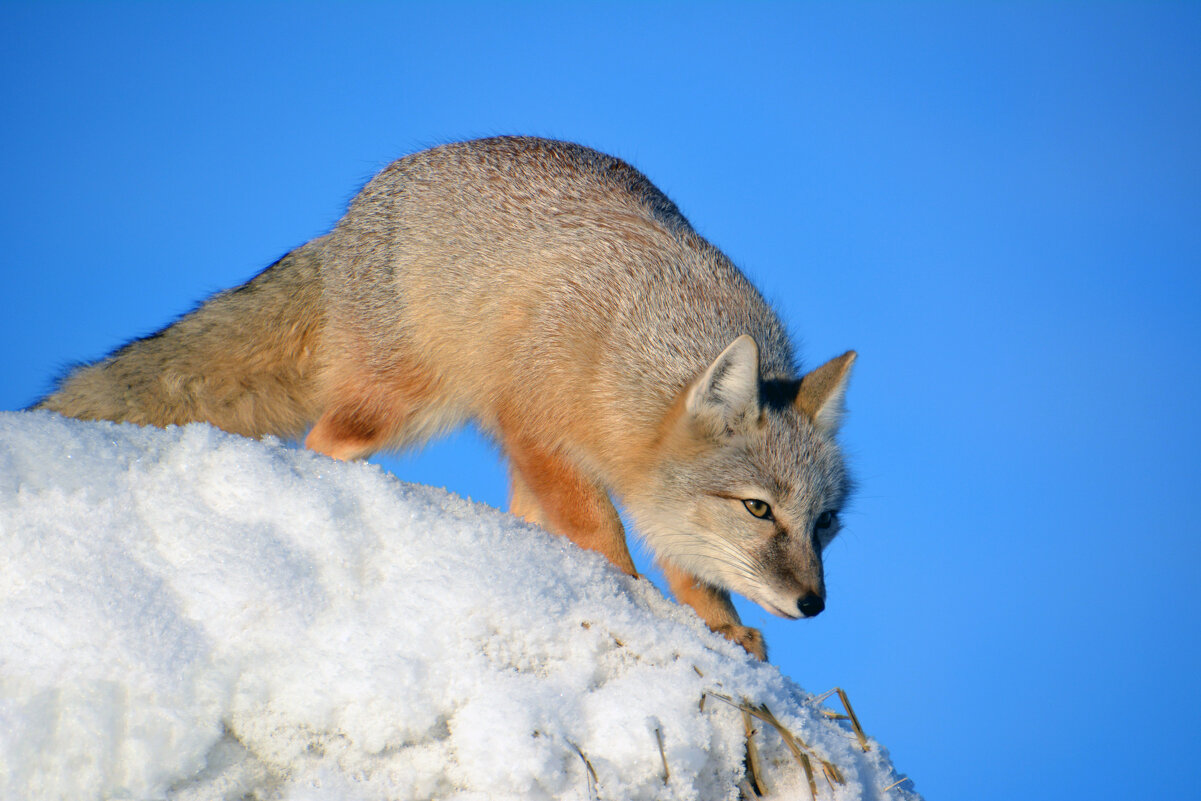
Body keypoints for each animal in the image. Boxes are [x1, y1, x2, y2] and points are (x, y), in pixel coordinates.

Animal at [35, 136, 855, 662]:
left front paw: (720, 627)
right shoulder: (532, 425)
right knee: (323, 443)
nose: (815, 604)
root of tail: (347, 223)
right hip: (398, 405)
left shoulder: (586, 468)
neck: (628, 356)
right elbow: (601, 530)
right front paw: (623, 587)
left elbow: (689, 565)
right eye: (759, 509)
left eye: (824, 525)